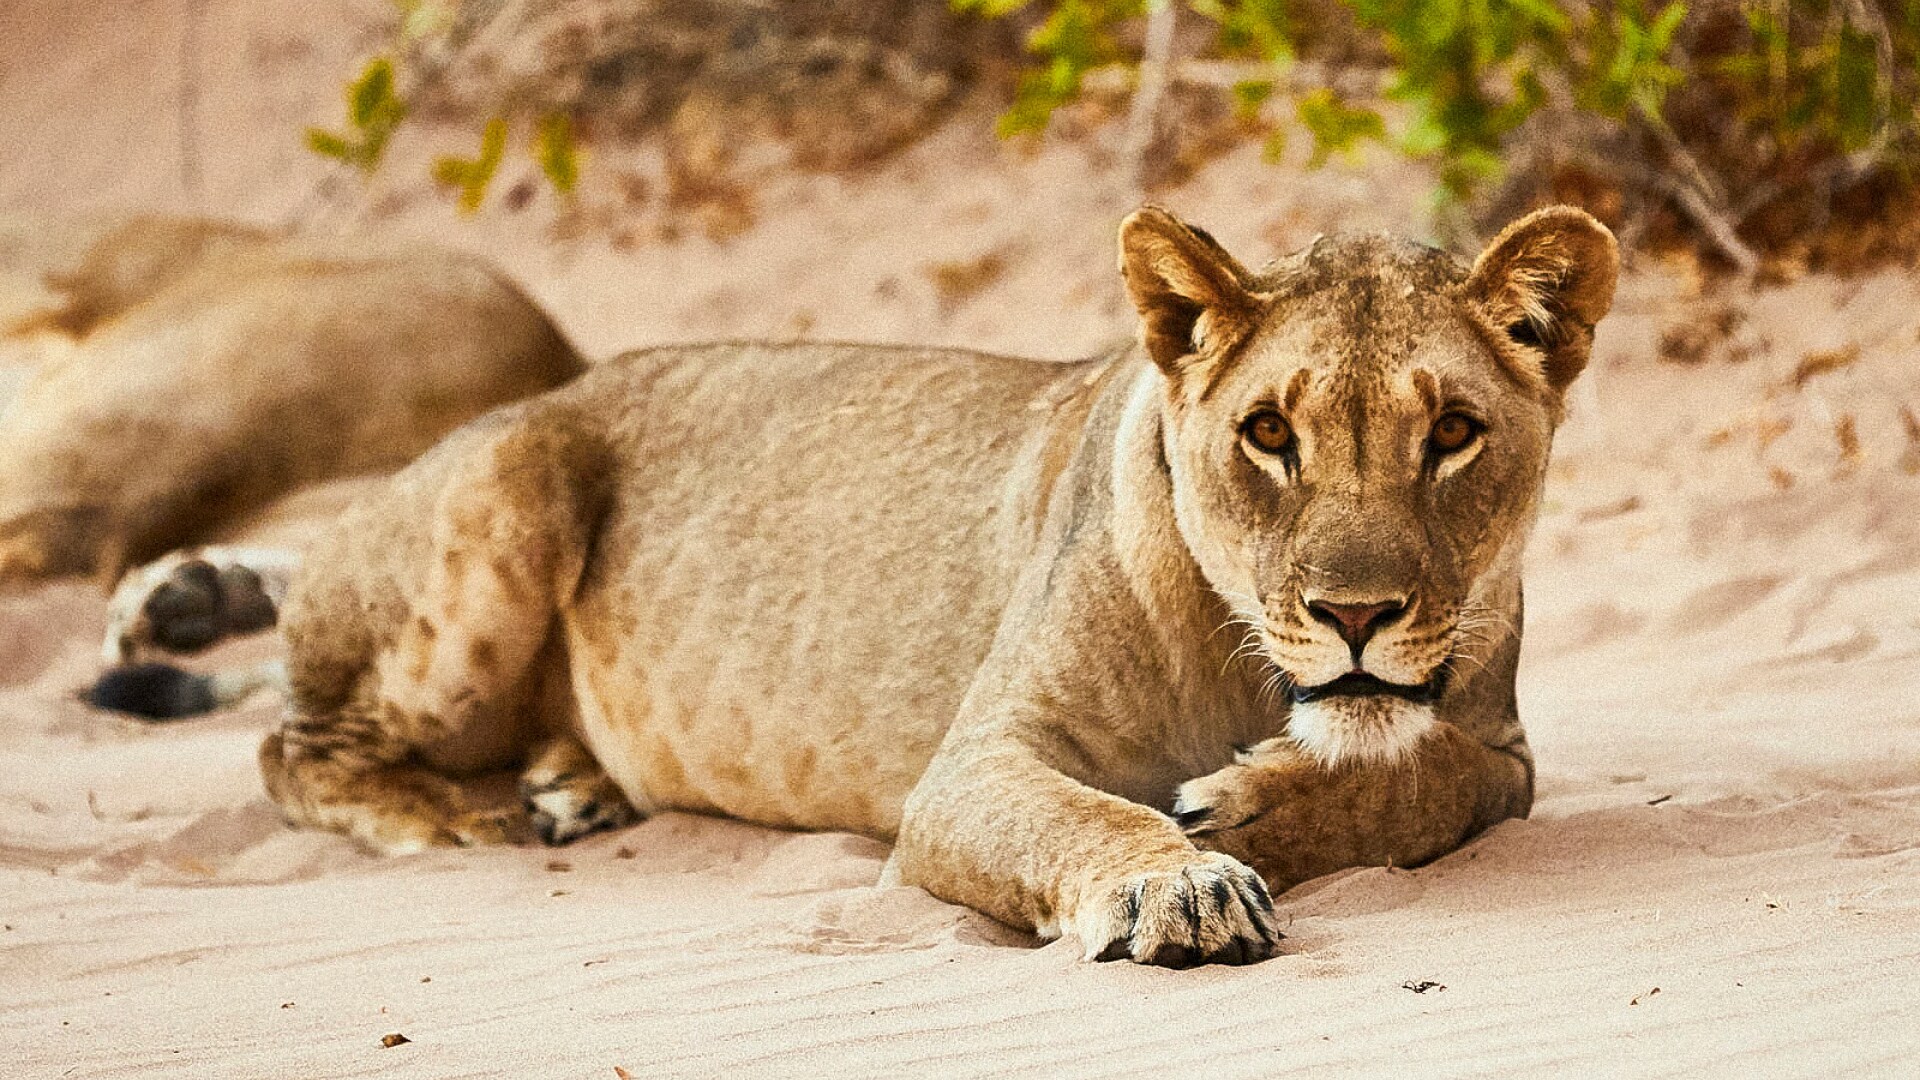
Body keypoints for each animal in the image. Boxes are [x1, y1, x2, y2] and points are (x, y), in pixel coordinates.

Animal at [112, 205, 1612, 960]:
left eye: (1452, 432)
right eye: (1268, 435)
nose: (1355, 617)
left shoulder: (1501, 739)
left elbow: (1433, 778)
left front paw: (1254, 802)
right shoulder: (972, 768)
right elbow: (1098, 818)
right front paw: (1177, 883)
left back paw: (570, 787)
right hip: (507, 488)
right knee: (293, 746)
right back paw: (477, 819)